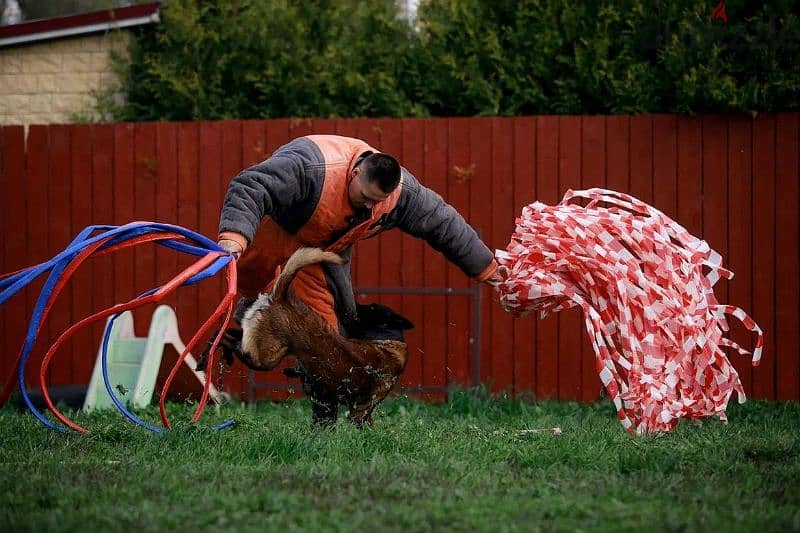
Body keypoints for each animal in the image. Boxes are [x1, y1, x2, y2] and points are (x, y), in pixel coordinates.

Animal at [198, 247, 412, 426]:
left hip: (262, 340)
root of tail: (281, 298)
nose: (351, 304)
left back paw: (206, 357)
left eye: (371, 308)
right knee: (230, 341)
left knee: (224, 334)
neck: (388, 341)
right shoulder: (361, 411)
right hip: (265, 358)